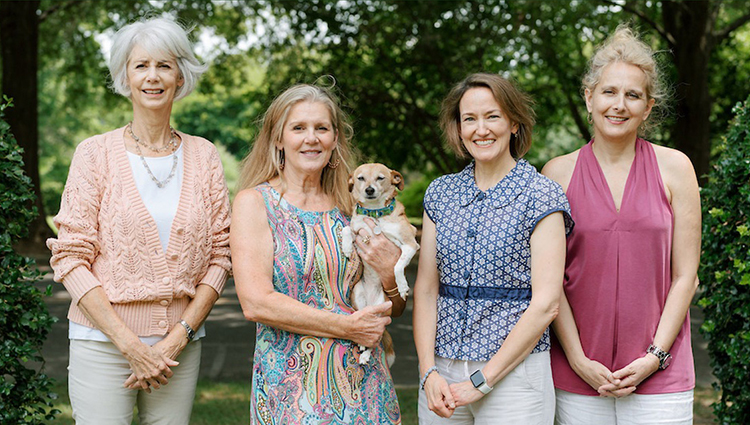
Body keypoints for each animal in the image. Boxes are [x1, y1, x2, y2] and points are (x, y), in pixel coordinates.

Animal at [344, 162, 420, 364]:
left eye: (380, 178)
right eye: (361, 178)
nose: (369, 190)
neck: (375, 214)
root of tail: (371, 304)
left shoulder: (410, 244)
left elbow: (398, 265)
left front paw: (402, 286)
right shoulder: (357, 229)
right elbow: (347, 228)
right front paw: (346, 247)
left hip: (383, 309)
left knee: (376, 338)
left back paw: (365, 354)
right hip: (357, 296)